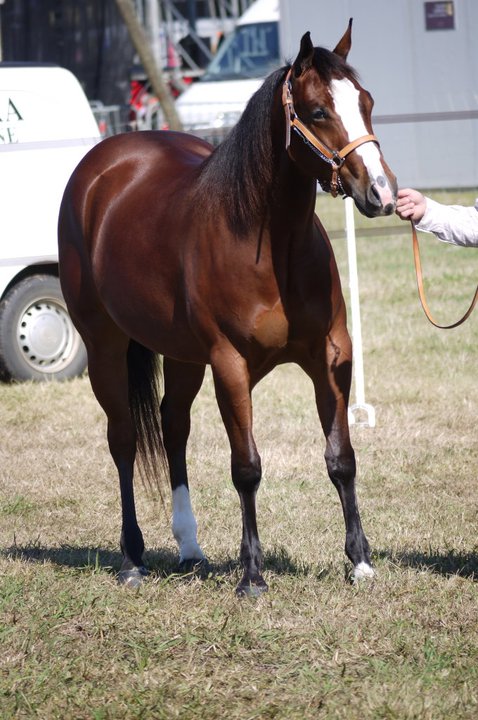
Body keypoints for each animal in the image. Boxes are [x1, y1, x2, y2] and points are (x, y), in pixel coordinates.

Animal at [58, 23, 396, 596]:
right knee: (124, 439)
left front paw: (360, 561)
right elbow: (247, 467)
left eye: (367, 102)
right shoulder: (230, 365)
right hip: (106, 346)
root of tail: (103, 164)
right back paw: (131, 559)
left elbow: (341, 459)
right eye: (317, 111)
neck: (271, 246)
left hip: (182, 356)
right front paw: (253, 574)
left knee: (172, 427)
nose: (381, 192)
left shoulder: (330, 356)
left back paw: (189, 548)